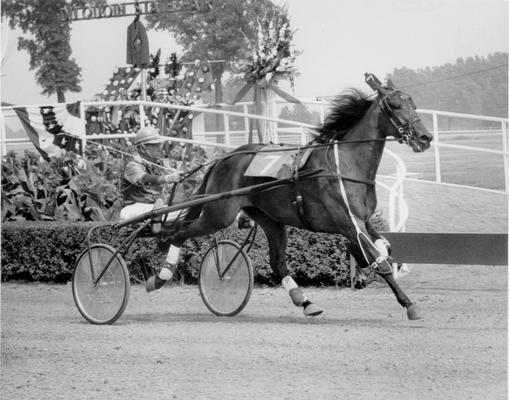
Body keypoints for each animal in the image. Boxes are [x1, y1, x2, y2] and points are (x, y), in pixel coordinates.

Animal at [169, 74, 430, 318]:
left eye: (413, 103)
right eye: (395, 105)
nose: (425, 137)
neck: (345, 165)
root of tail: (222, 159)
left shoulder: (362, 221)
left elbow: (385, 249)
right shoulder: (348, 222)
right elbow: (380, 262)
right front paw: (410, 304)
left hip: (270, 220)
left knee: (277, 263)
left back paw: (305, 302)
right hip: (218, 215)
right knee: (178, 232)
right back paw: (163, 275)